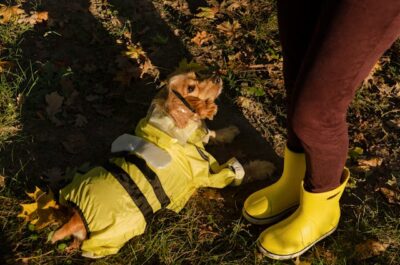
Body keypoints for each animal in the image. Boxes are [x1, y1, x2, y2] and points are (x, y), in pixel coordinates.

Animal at [49, 71, 247, 256]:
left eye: (196, 75)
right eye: (191, 88)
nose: (217, 77)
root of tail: (76, 218)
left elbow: (212, 134)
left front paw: (230, 131)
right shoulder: (205, 174)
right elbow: (235, 171)